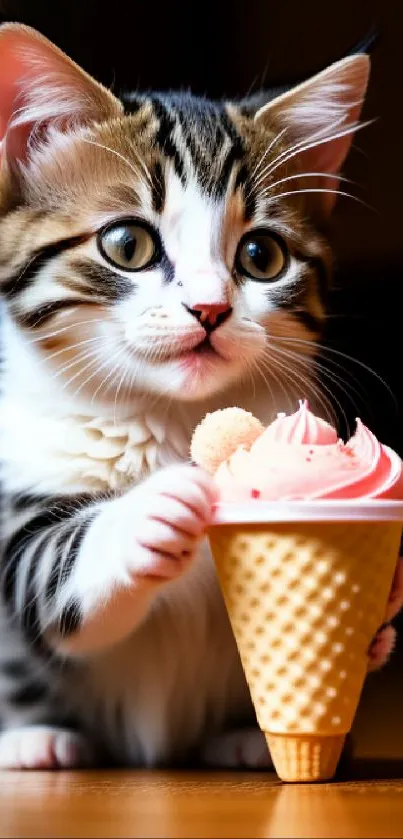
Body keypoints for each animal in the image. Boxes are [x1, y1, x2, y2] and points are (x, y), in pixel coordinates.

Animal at [0, 23, 374, 772]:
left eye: (261, 256)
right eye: (126, 244)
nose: (209, 309)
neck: (165, 418)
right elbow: (45, 568)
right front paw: (151, 507)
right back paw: (34, 738)